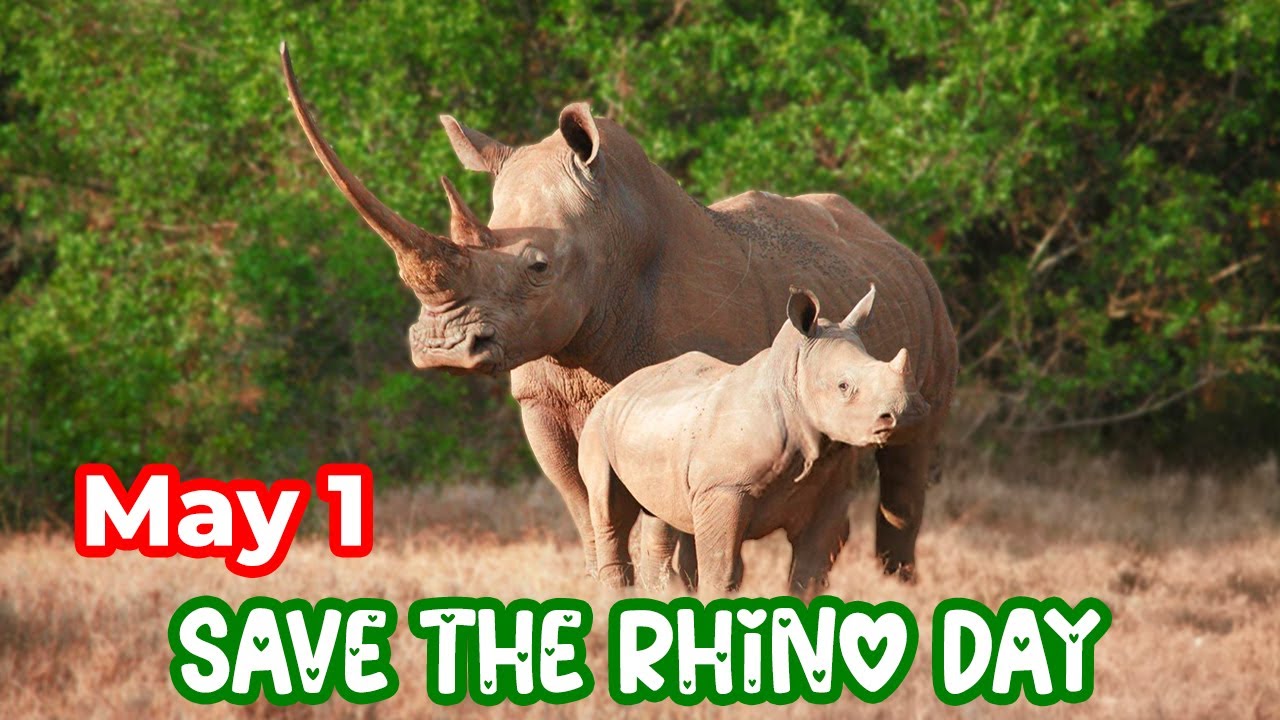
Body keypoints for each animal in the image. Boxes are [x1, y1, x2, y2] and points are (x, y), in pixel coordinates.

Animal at [580, 286, 928, 594]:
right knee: (610, 514)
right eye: (843, 386)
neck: (791, 385)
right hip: (597, 424)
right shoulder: (724, 488)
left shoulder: (830, 493)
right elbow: (721, 571)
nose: (909, 415)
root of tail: (619, 386)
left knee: (661, 515)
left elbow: (809, 575)